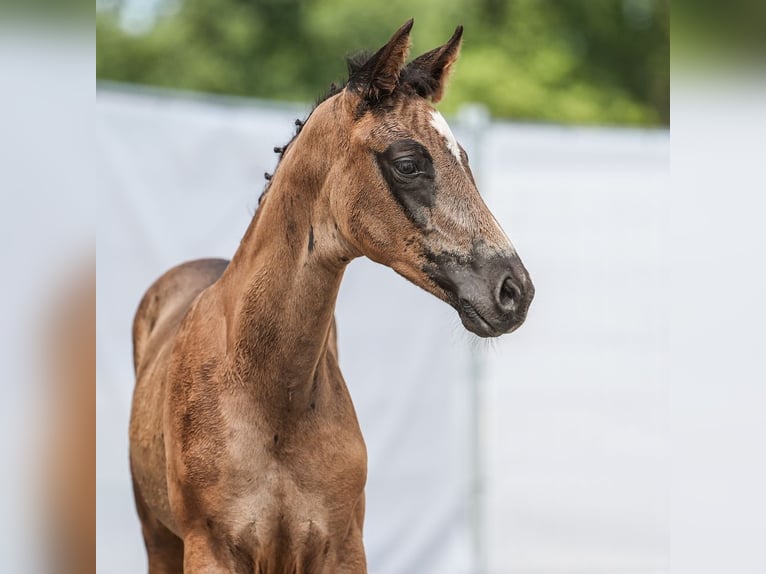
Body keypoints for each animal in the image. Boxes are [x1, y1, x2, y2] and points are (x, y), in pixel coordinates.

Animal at [130, 20, 536, 572]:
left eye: (466, 160)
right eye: (408, 163)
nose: (515, 290)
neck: (272, 399)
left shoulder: (342, 546)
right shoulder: (208, 550)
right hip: (159, 538)